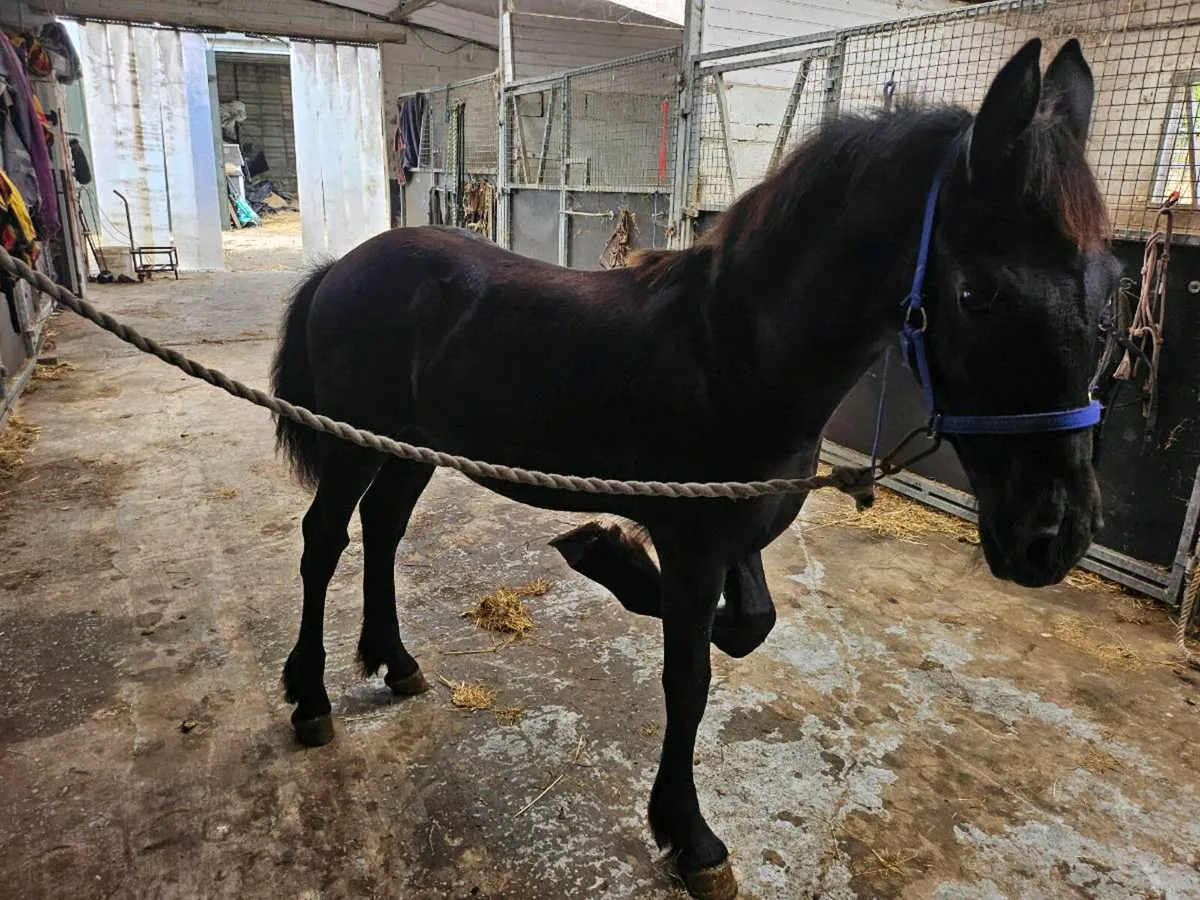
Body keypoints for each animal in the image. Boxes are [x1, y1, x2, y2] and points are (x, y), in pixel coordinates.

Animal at [270, 38, 1115, 899]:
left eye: (1109, 288)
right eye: (978, 293)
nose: (1055, 537)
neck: (739, 351)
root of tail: (344, 265)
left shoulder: (737, 532)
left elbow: (749, 626)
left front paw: (605, 556)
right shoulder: (694, 544)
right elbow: (691, 678)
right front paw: (690, 835)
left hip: (410, 449)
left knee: (383, 530)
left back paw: (396, 661)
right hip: (354, 445)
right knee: (324, 541)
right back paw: (310, 698)